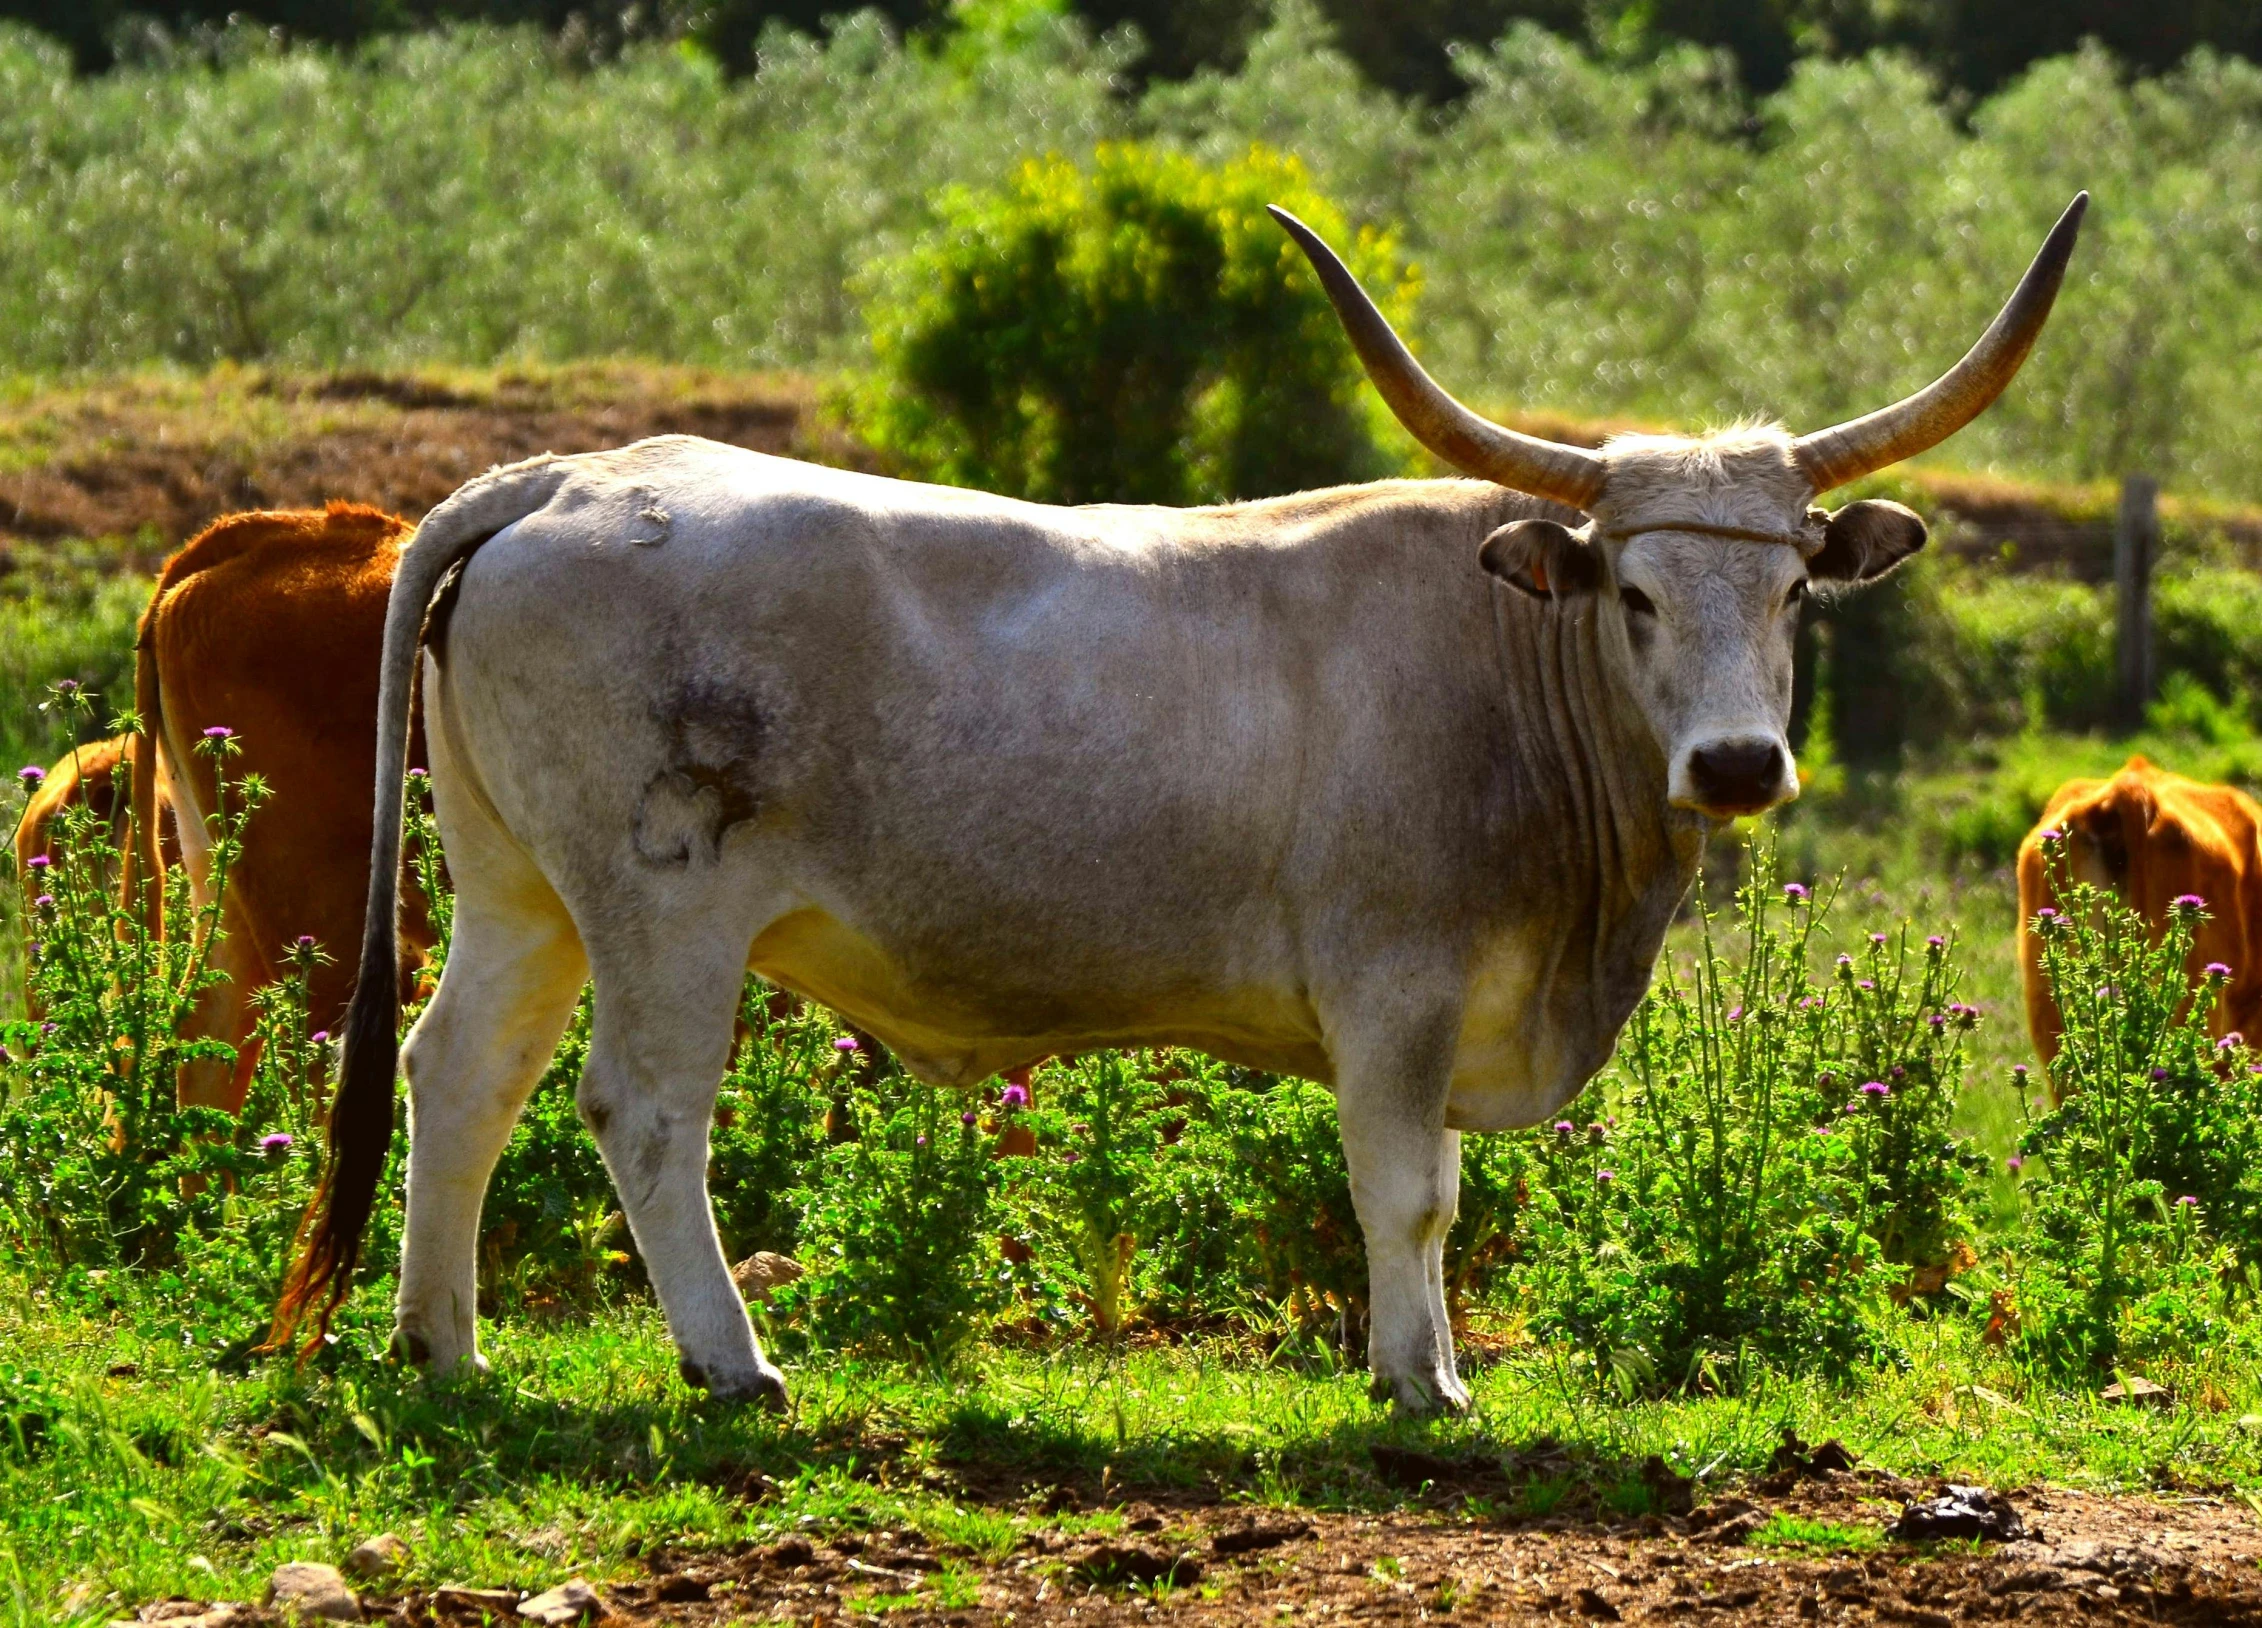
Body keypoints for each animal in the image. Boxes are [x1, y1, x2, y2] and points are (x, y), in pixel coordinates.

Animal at [278, 194, 2081, 1410]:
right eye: (1633, 594)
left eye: (1789, 593)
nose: (1733, 764)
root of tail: (568, 476)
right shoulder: (1393, 986)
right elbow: (1411, 1190)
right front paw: (1422, 1383)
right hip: (663, 909)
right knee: (641, 1111)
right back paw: (734, 1365)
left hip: (521, 893)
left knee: (461, 1077)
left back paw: (443, 1346)